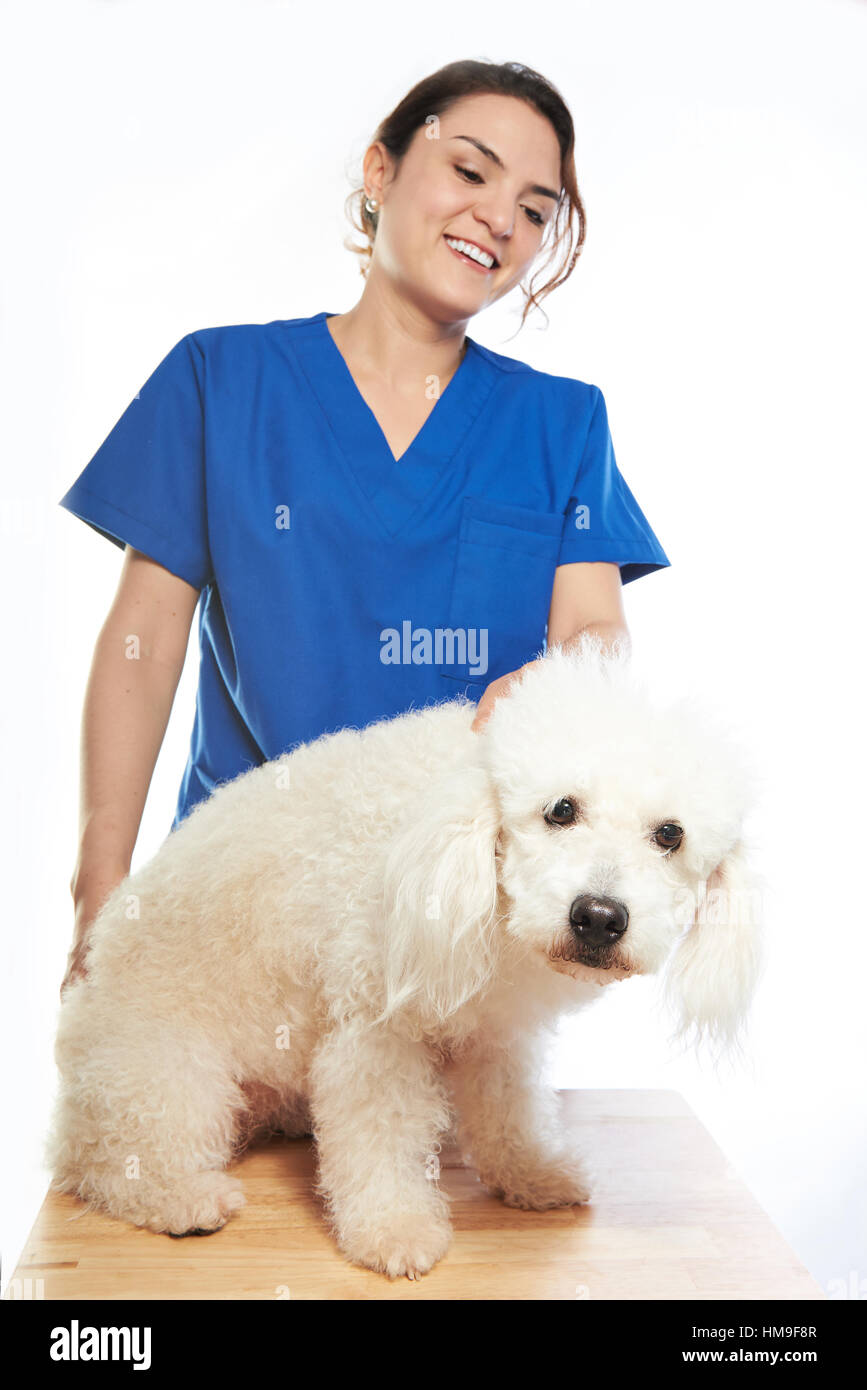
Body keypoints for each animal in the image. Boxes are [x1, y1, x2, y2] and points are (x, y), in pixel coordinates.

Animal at [45, 636, 755, 1273]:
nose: (599, 917)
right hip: (163, 1079)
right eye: (560, 809)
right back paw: (181, 1197)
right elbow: (380, 1142)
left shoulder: (496, 1035)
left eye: (670, 835)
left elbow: (509, 1112)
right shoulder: (374, 1037)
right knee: (103, 1162)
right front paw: (394, 1230)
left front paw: (530, 1174)